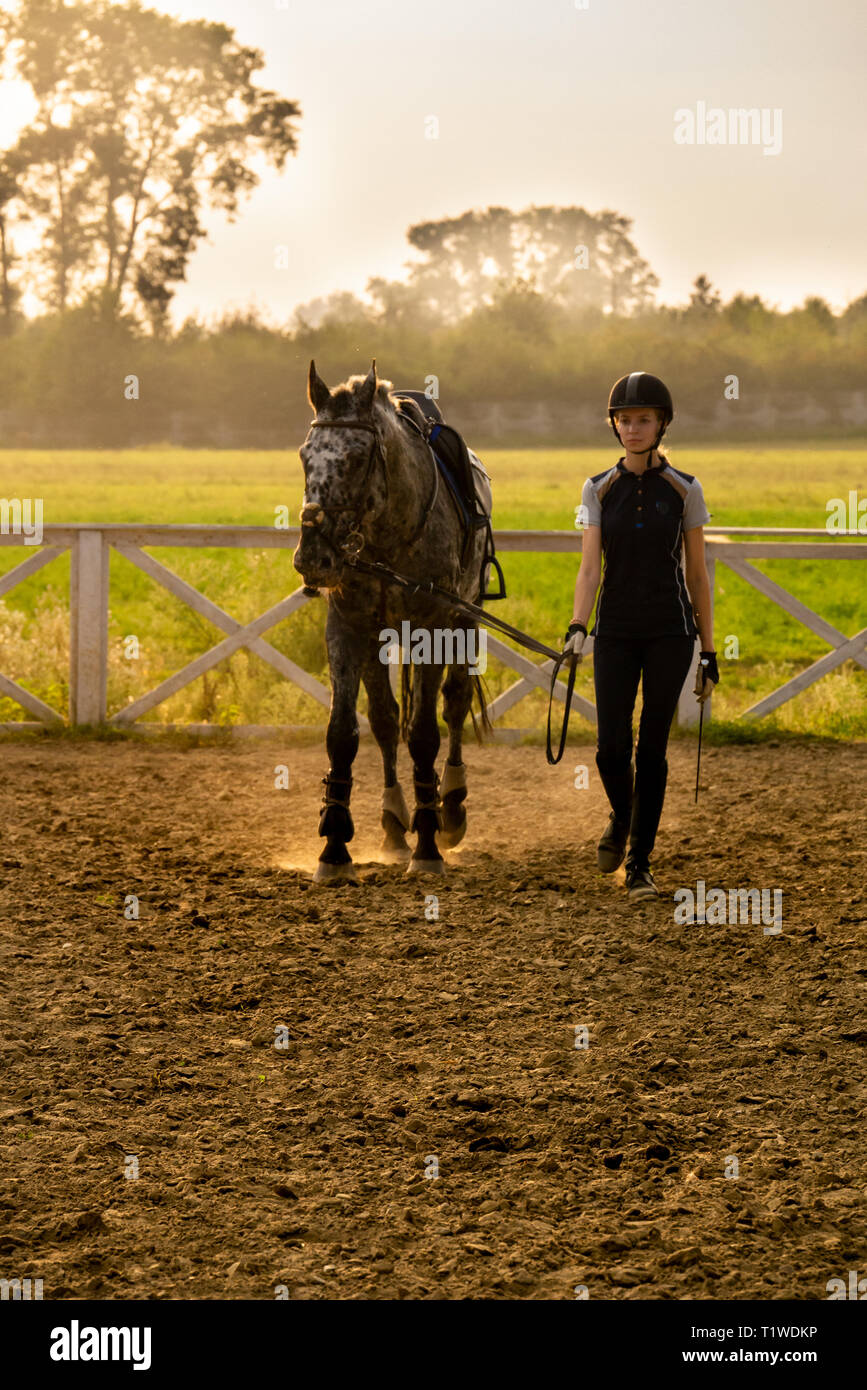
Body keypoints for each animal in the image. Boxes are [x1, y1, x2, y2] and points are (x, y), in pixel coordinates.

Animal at [294, 358, 491, 878]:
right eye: (305, 456)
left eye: (356, 458)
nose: (312, 557)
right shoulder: (349, 627)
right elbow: (345, 733)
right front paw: (335, 844)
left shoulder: (433, 626)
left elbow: (424, 734)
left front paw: (428, 844)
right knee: (385, 720)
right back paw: (393, 824)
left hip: (465, 621)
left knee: (455, 704)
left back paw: (450, 806)